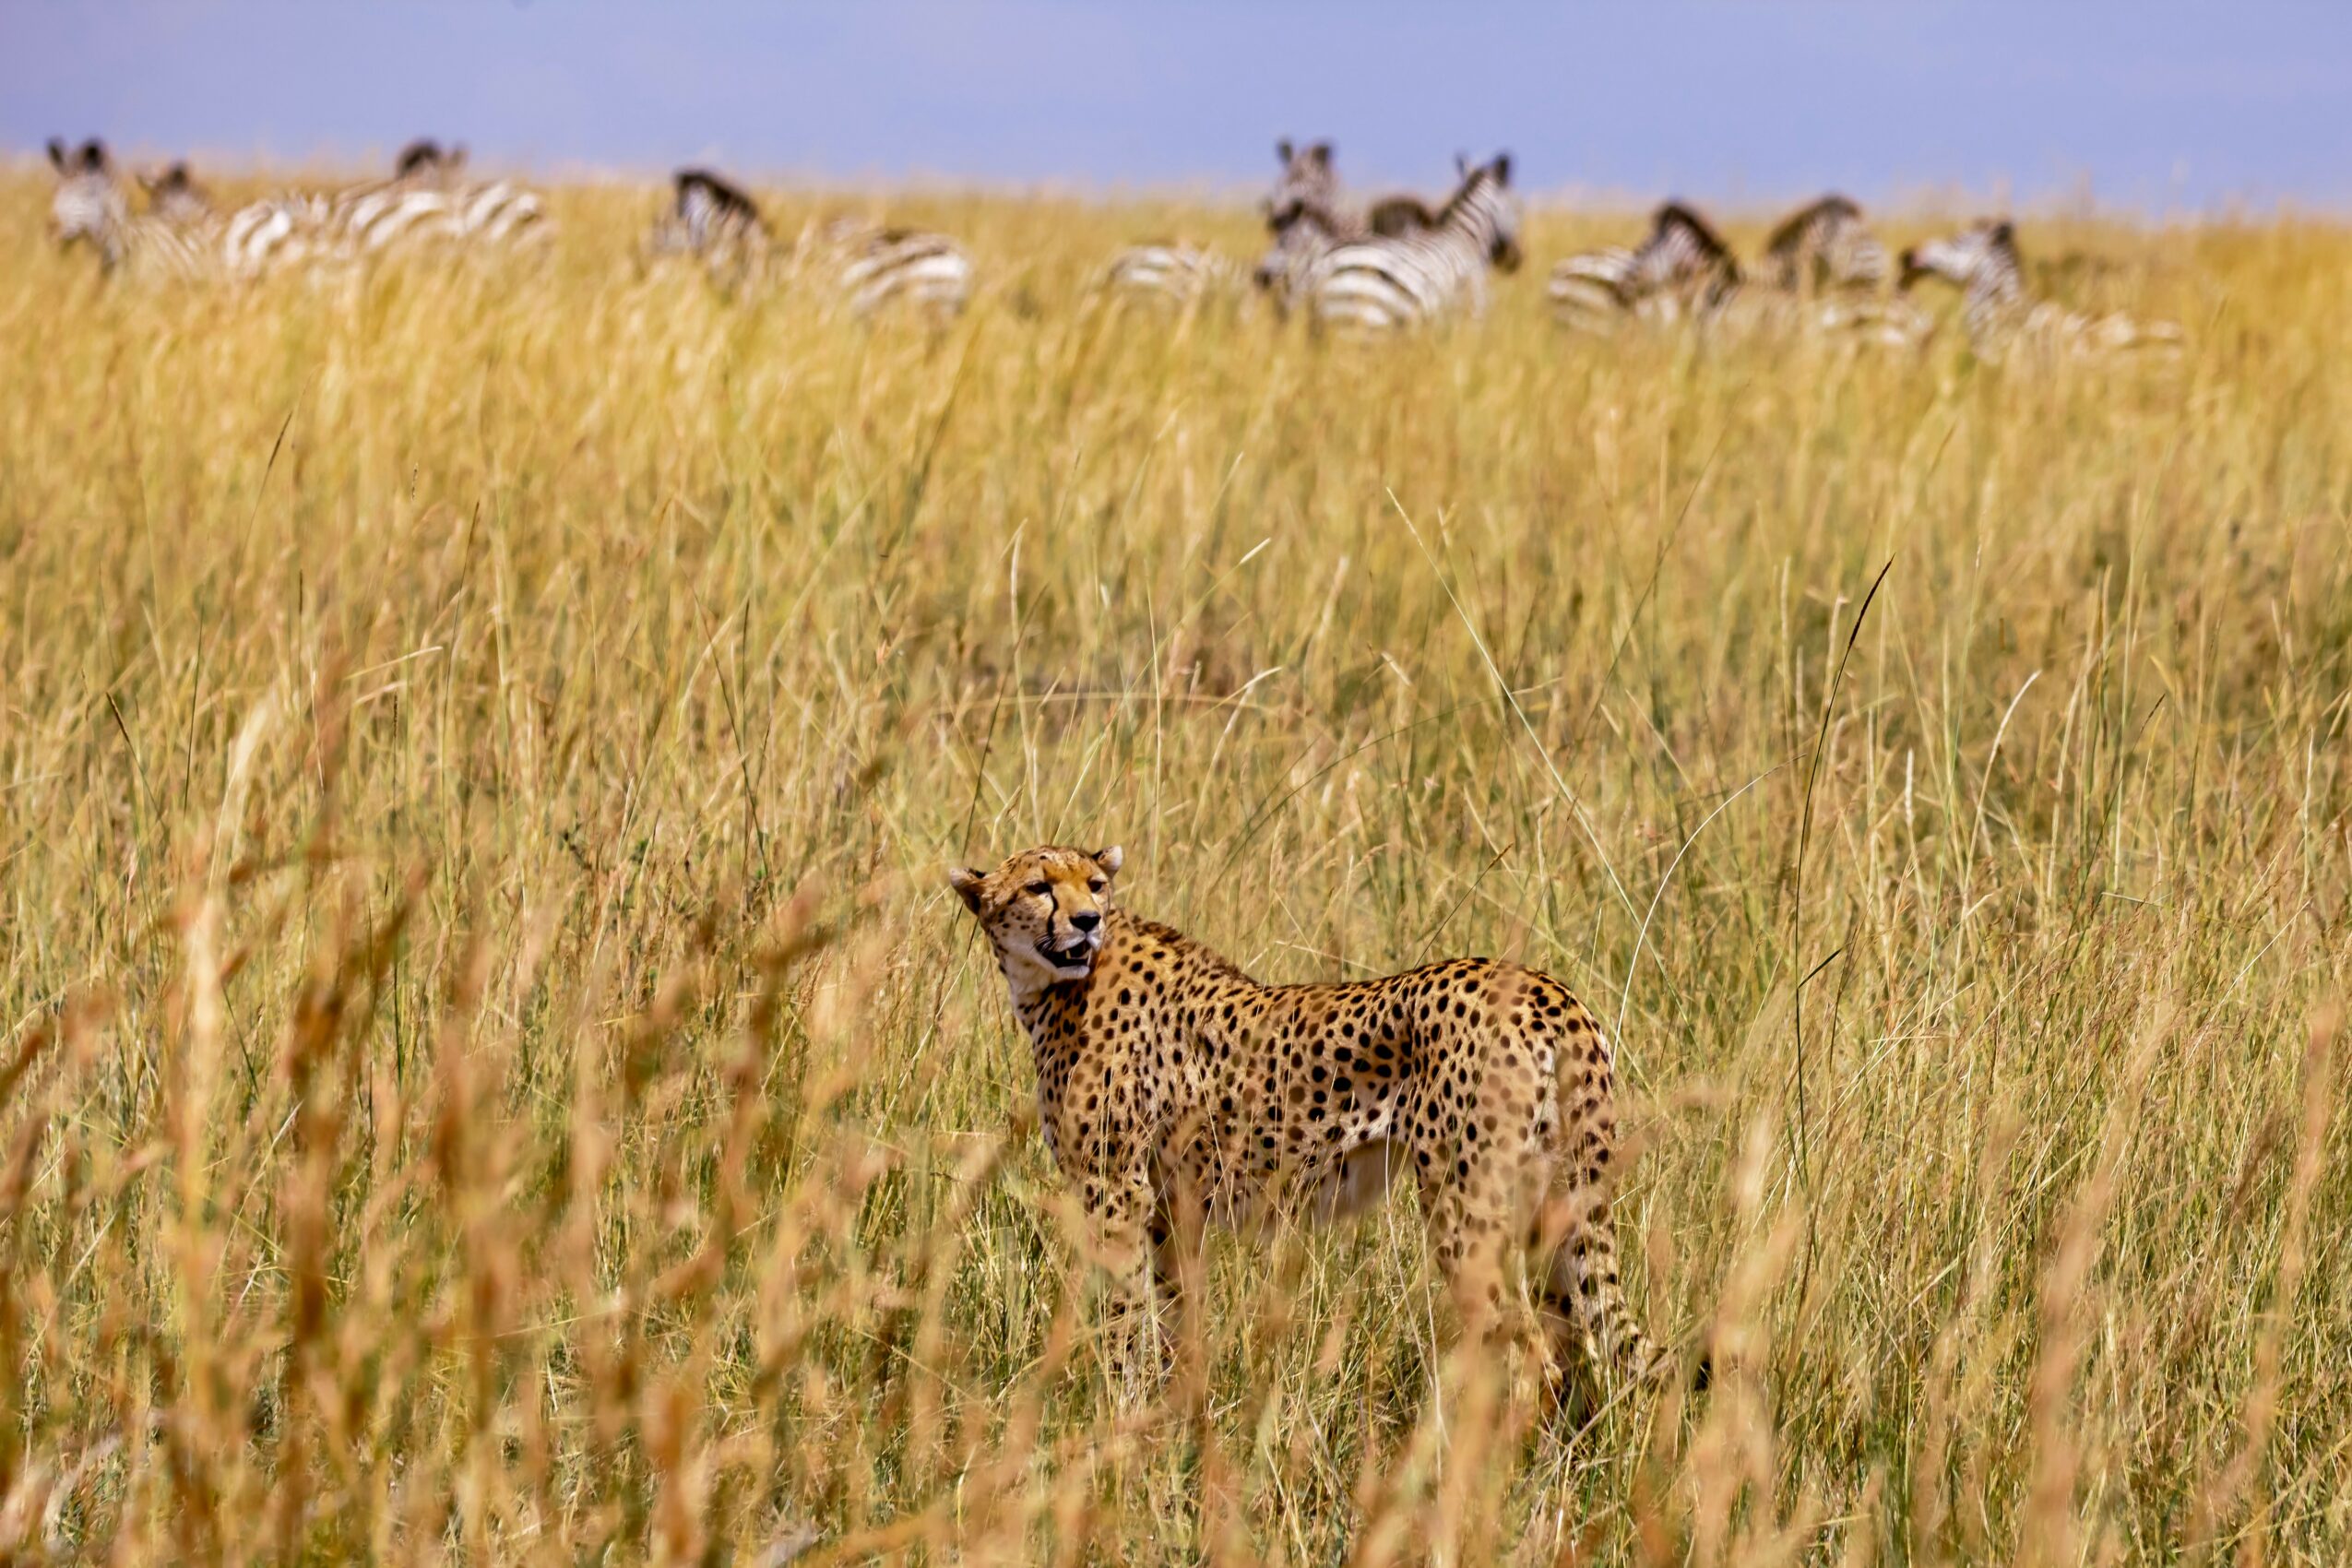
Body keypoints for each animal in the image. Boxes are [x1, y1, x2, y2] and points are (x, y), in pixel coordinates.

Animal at [949, 841, 1673, 1405]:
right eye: (1040, 886)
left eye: (1094, 885)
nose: (1087, 920)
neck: (1050, 985)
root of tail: (1546, 987)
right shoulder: (1169, 1207)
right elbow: (1174, 1313)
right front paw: (1175, 1416)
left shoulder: (1116, 1192)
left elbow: (1125, 1314)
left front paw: (1120, 1421)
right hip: (1553, 1203)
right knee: (1574, 1344)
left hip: (1464, 1211)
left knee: (1529, 1356)